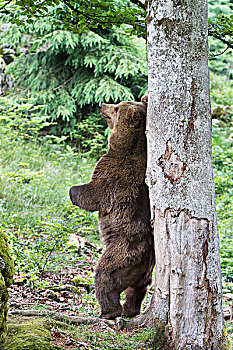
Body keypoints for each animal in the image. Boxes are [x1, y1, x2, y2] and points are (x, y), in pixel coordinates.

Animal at [69, 95, 155, 320]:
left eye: (116, 108)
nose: (102, 104)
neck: (128, 145)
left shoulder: (112, 175)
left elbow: (92, 195)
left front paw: (72, 191)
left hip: (122, 254)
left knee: (105, 276)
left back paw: (108, 311)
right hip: (143, 271)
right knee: (138, 290)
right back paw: (130, 310)